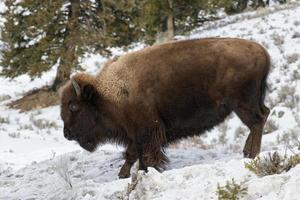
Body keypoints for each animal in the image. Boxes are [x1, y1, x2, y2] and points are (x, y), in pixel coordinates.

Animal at [59, 37, 270, 178]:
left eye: (74, 106)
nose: (66, 133)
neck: (107, 95)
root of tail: (263, 52)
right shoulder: (135, 134)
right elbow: (132, 154)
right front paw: (124, 174)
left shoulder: (146, 130)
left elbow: (142, 154)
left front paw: (144, 171)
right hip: (251, 102)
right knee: (263, 115)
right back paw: (246, 153)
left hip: (243, 104)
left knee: (257, 121)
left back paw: (251, 155)